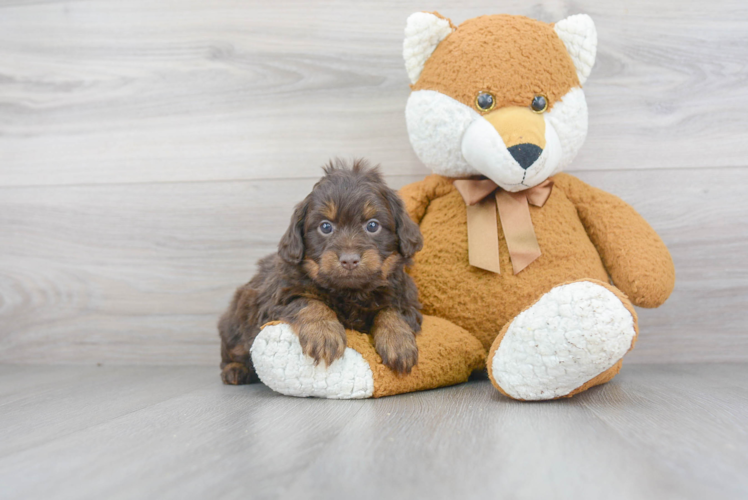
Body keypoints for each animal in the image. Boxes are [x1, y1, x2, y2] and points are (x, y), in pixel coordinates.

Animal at [219, 158, 424, 384]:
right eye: (325, 227)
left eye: (372, 226)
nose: (349, 260)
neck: (351, 292)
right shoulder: (277, 300)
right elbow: (309, 302)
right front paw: (324, 334)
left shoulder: (406, 299)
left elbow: (392, 311)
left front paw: (398, 341)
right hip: (234, 324)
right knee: (232, 351)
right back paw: (236, 370)